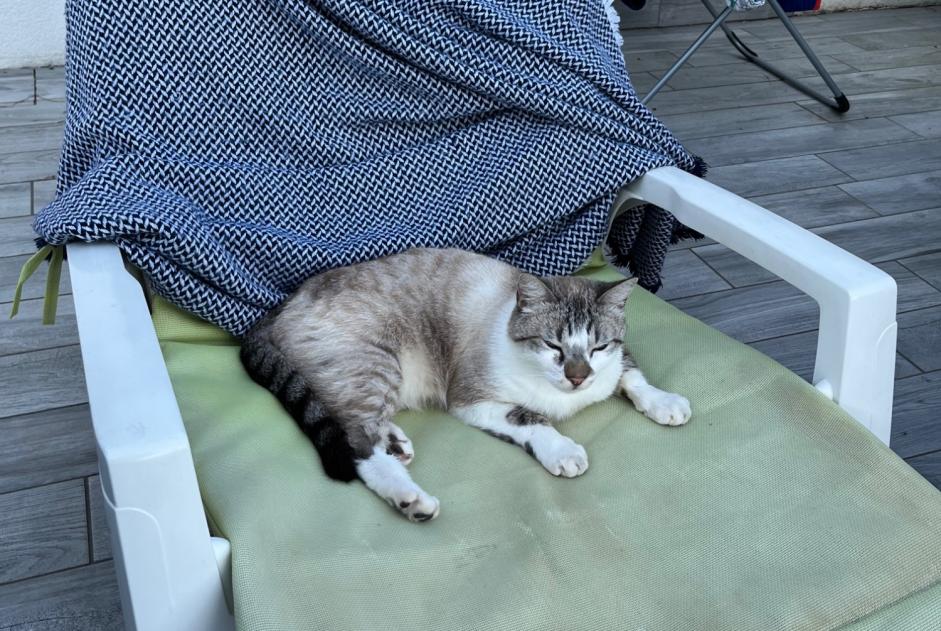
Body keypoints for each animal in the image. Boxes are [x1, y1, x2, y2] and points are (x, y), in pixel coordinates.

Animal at [239, 248, 688, 524]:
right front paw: (563, 451)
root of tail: (280, 305)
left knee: (362, 421)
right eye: (553, 346)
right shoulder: (471, 401)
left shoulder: (614, 362)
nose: (577, 377)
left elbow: (632, 376)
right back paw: (410, 499)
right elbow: (532, 419)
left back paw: (398, 443)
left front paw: (664, 402)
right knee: (356, 440)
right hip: (375, 366)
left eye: (598, 346)